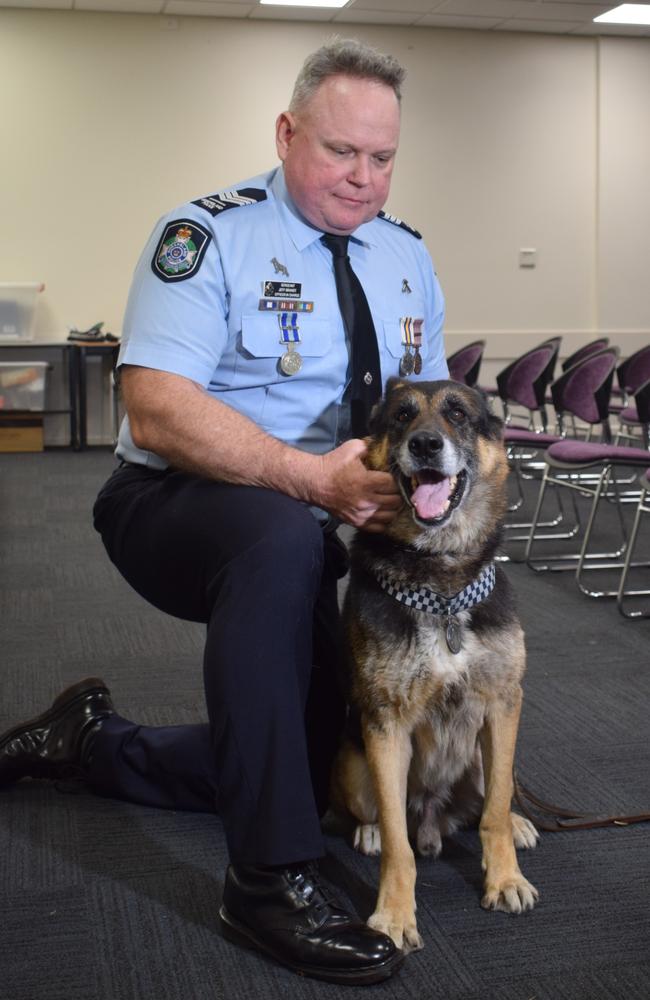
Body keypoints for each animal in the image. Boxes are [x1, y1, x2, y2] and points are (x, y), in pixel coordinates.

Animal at [330, 376, 536, 952]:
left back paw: (518, 822)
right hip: (353, 761)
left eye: (458, 414)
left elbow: (493, 812)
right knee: (381, 815)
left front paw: (504, 878)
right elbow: (399, 846)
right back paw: (371, 830)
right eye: (401, 415)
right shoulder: (385, 722)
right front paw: (394, 914)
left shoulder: (503, 705)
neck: (441, 584)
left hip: (488, 755)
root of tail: (434, 815)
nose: (424, 445)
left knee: (494, 795)